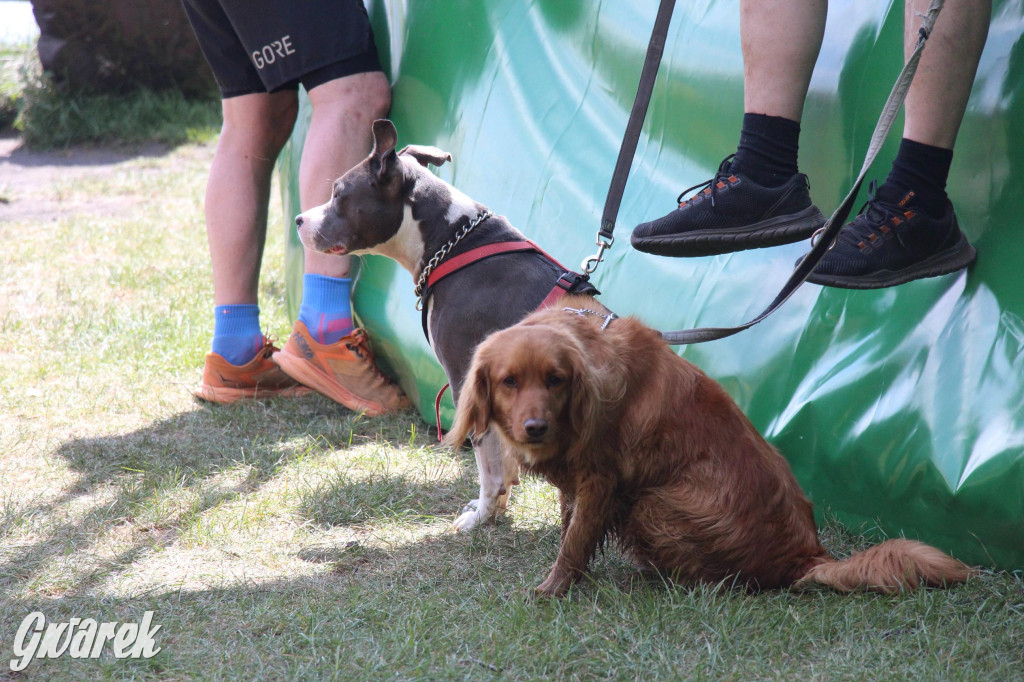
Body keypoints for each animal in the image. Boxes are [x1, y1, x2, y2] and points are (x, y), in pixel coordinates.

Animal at [450, 292, 974, 593]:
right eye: (510, 381)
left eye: (555, 379)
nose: (534, 427)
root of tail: (809, 555)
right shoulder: (577, 481)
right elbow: (570, 528)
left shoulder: (602, 479)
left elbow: (575, 540)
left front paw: (555, 588)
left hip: (653, 505)